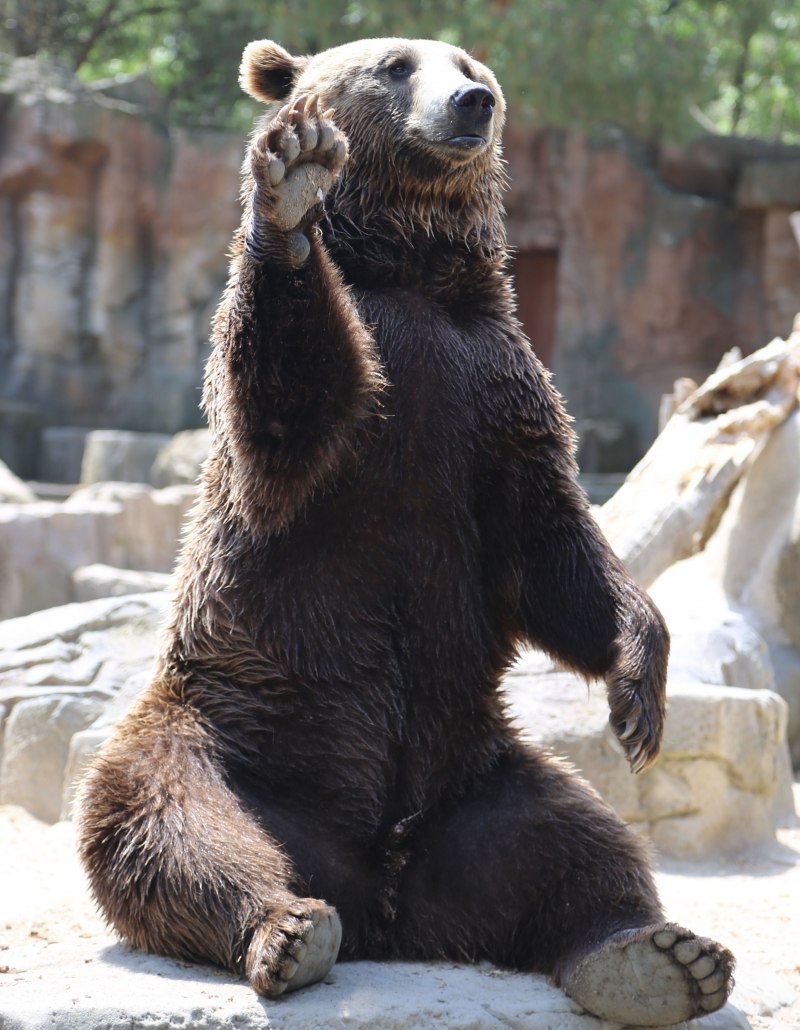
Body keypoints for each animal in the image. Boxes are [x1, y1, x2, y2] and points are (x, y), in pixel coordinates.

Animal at [77, 37, 735, 1026]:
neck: (409, 273)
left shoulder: (492, 392)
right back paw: (288, 927)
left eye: (475, 68)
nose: (472, 104)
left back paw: (658, 958)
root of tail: (386, 900)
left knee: (575, 841)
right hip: (236, 728)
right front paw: (293, 181)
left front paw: (638, 693)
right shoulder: (350, 411)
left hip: (473, 765)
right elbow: (290, 408)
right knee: (165, 823)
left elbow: (553, 547)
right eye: (395, 64)